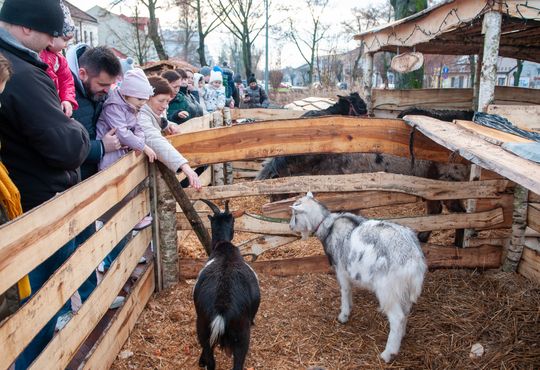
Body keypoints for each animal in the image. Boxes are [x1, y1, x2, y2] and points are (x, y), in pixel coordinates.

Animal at [194, 199, 262, 370]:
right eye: (234, 222)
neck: (223, 247)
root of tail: (221, 309)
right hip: (242, 335)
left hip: (203, 327)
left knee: (210, 360)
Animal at [288, 192, 428, 362]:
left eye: (295, 214)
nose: (290, 227)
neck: (328, 225)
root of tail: (414, 259)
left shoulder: (341, 270)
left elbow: (345, 290)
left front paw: (343, 316)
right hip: (403, 289)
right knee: (406, 311)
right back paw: (402, 335)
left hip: (387, 289)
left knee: (397, 318)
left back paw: (388, 353)